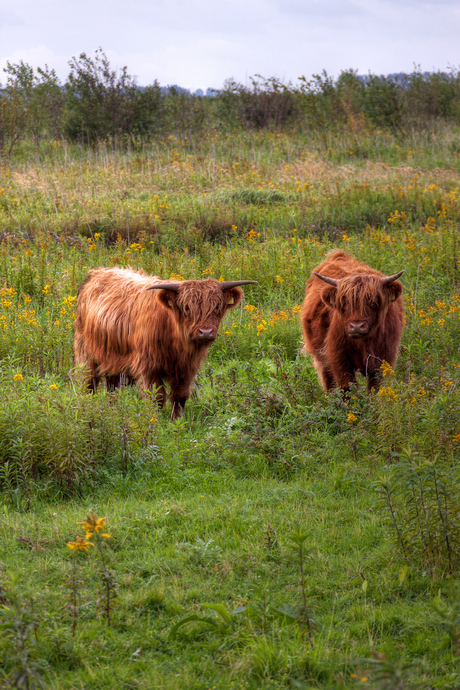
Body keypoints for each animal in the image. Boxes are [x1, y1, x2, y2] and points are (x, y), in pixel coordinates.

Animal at [73, 268, 256, 420]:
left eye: (217, 307)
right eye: (187, 308)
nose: (205, 332)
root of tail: (97, 273)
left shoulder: (187, 368)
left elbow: (180, 395)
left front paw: (177, 421)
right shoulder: (148, 366)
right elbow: (157, 396)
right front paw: (157, 421)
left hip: (113, 358)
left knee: (113, 386)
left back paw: (113, 410)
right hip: (86, 353)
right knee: (89, 382)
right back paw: (88, 408)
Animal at [302, 250, 402, 392]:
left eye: (373, 302)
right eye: (344, 303)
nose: (356, 326)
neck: (364, 343)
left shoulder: (384, 358)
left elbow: (374, 388)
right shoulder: (339, 359)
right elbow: (347, 388)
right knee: (328, 380)